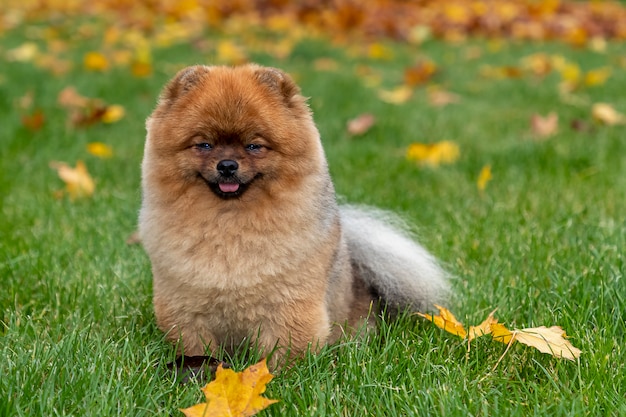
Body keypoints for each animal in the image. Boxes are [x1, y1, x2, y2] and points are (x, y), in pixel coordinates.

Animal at [139, 63, 446, 362]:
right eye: (204, 145)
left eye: (254, 146)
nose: (227, 165)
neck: (230, 221)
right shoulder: (186, 308)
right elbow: (196, 346)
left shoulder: (288, 305)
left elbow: (284, 351)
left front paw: (277, 373)